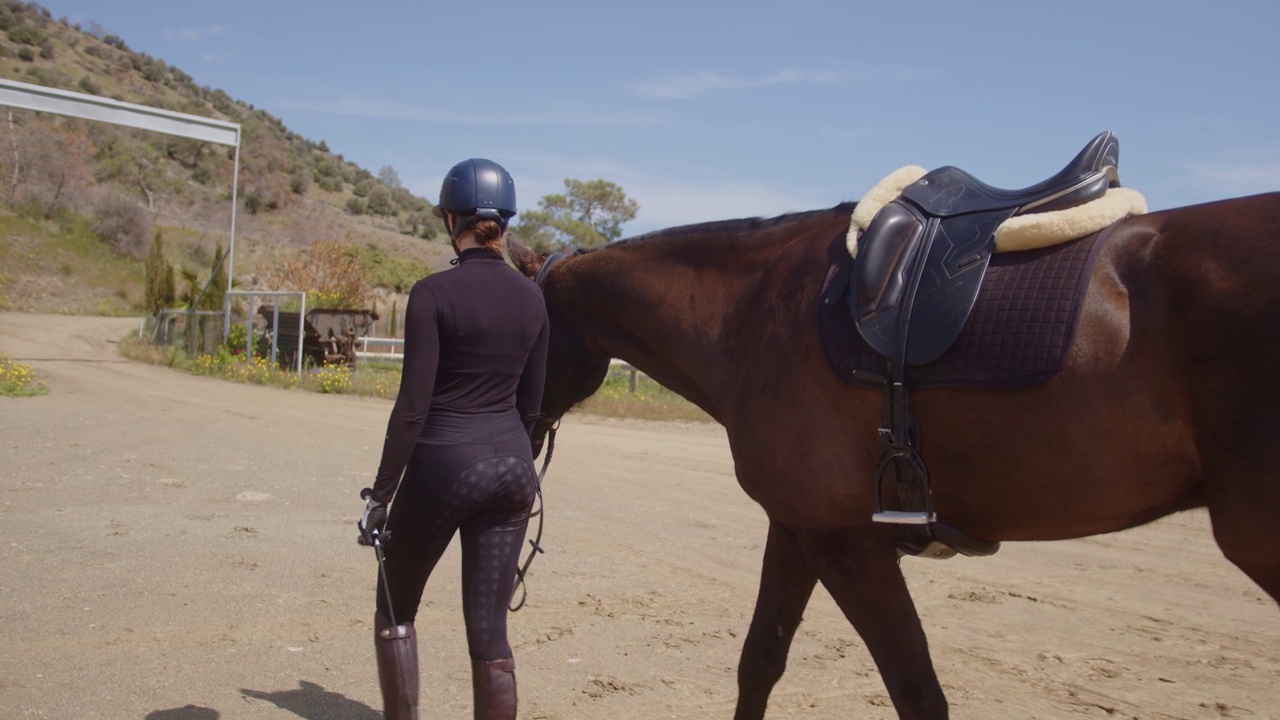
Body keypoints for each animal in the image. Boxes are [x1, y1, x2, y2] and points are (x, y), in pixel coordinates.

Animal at [504, 192, 1280, 717]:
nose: (512, 435)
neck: (752, 311)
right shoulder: (799, 528)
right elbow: (760, 661)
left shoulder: (847, 543)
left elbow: (916, 691)